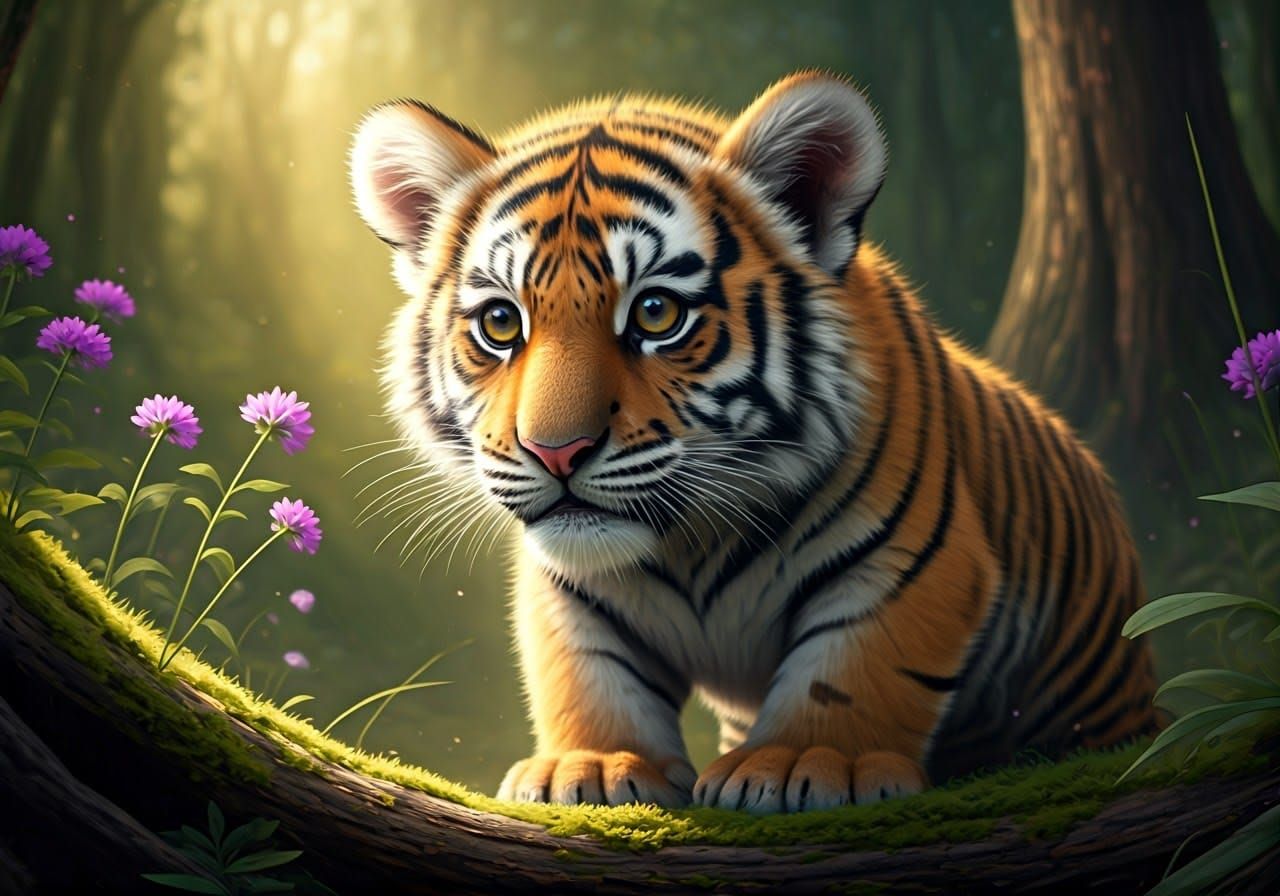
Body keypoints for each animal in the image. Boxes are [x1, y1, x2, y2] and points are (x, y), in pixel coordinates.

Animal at [348, 71, 1158, 813]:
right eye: (501, 323)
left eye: (656, 312)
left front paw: (806, 762)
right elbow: (586, 672)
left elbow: (852, 668)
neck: (689, 541)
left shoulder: (910, 562)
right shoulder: (571, 589)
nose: (556, 452)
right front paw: (596, 766)